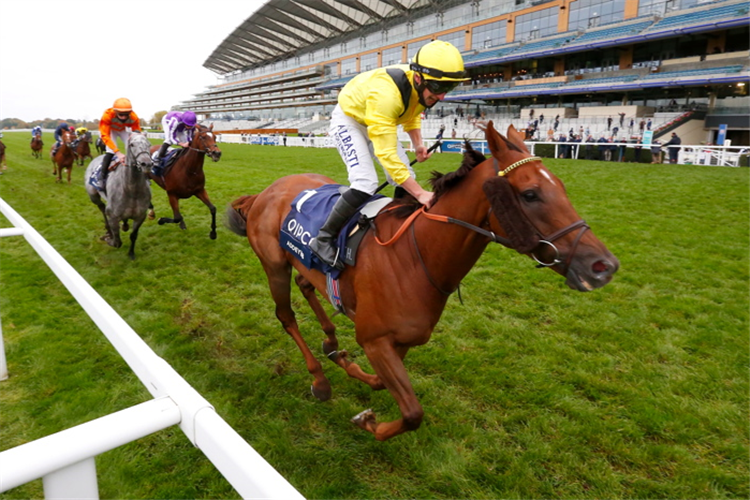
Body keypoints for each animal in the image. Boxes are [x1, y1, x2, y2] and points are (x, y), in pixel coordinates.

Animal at [85, 131, 154, 260]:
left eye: (149, 144)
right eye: (132, 144)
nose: (146, 164)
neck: (132, 191)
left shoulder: (140, 216)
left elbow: (133, 235)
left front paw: (131, 253)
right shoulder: (113, 216)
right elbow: (117, 242)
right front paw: (109, 238)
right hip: (93, 196)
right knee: (102, 208)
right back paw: (108, 230)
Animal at [226, 122, 620, 442]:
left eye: (563, 187)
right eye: (530, 194)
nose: (603, 266)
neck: (415, 258)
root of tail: (266, 192)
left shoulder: (401, 340)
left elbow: (382, 383)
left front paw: (346, 363)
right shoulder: (375, 338)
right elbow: (413, 413)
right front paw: (368, 421)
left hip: (305, 264)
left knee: (308, 287)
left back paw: (329, 339)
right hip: (274, 264)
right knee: (286, 316)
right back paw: (319, 380)